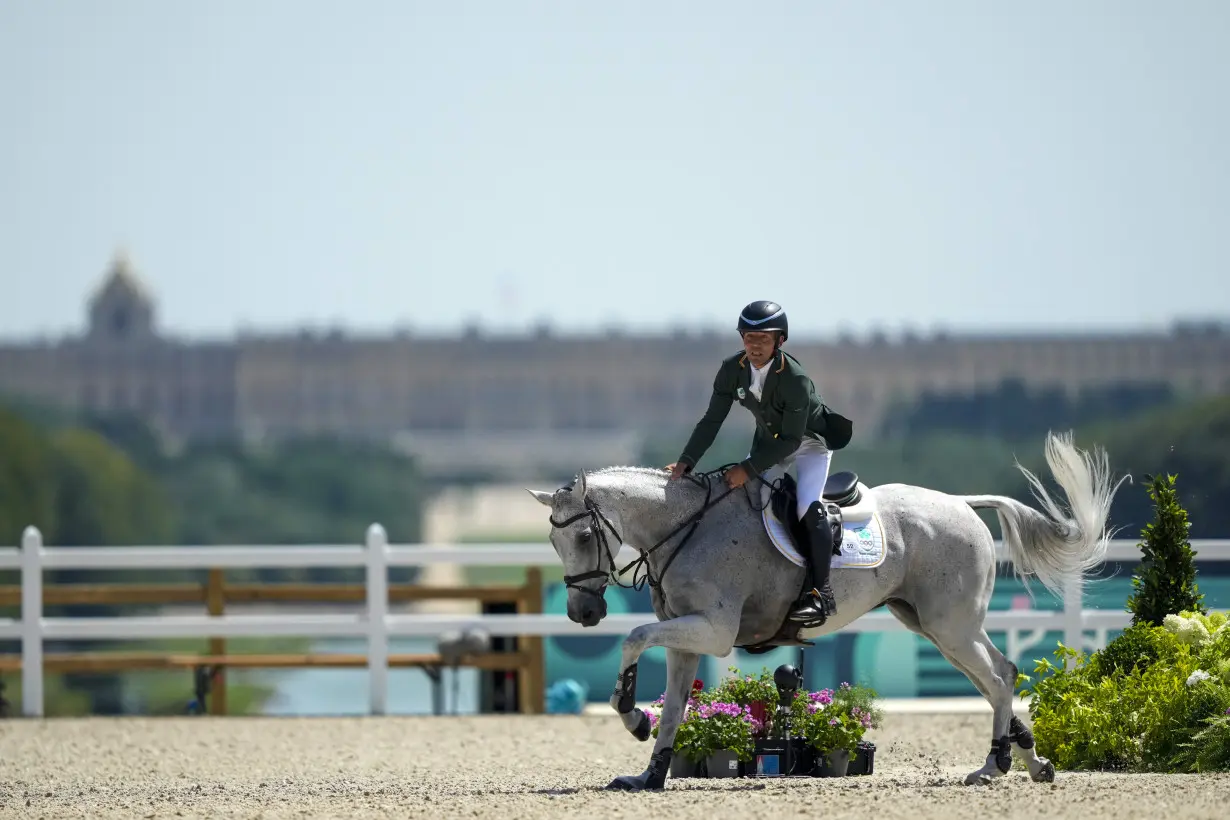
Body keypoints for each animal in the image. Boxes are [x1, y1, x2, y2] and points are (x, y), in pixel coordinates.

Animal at [528, 432, 1126, 791]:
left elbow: (634, 637)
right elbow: (674, 704)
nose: (583, 614)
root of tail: (961, 503)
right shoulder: (686, 636)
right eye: (555, 542)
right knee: (997, 676)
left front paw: (633, 716)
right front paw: (649, 772)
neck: (684, 527)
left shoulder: (712, 631)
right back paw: (1030, 762)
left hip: (950, 625)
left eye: (585, 536)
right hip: (929, 623)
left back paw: (992, 765)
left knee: (999, 677)